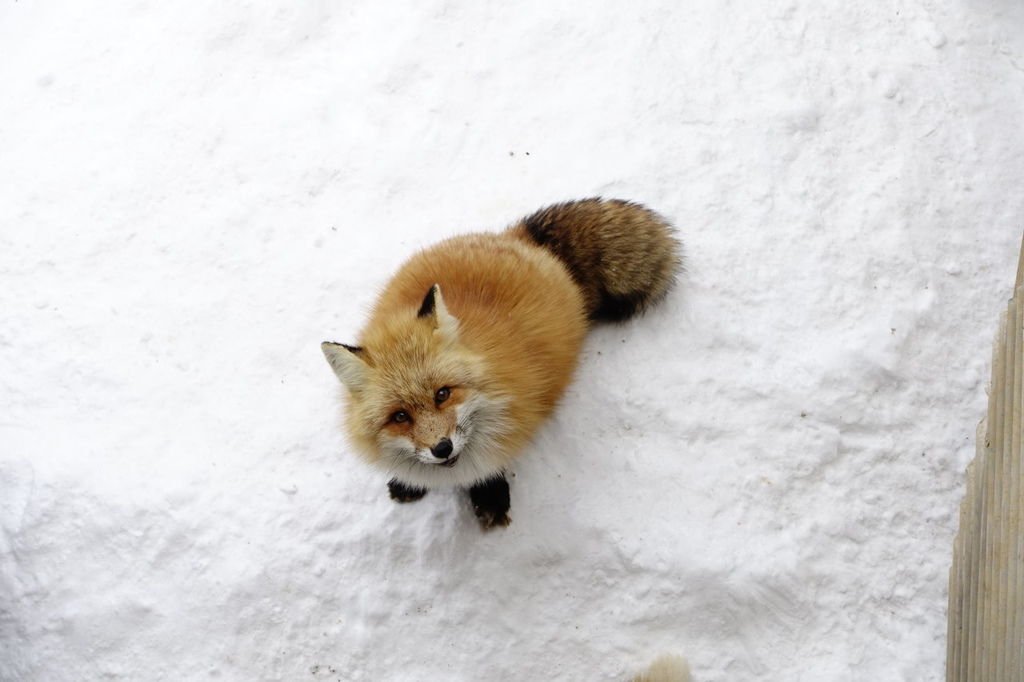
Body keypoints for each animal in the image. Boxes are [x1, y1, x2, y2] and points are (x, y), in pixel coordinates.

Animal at [323, 196, 684, 524]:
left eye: (443, 394)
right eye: (399, 416)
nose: (442, 448)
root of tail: (515, 237)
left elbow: (491, 465)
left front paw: (489, 495)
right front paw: (411, 483)